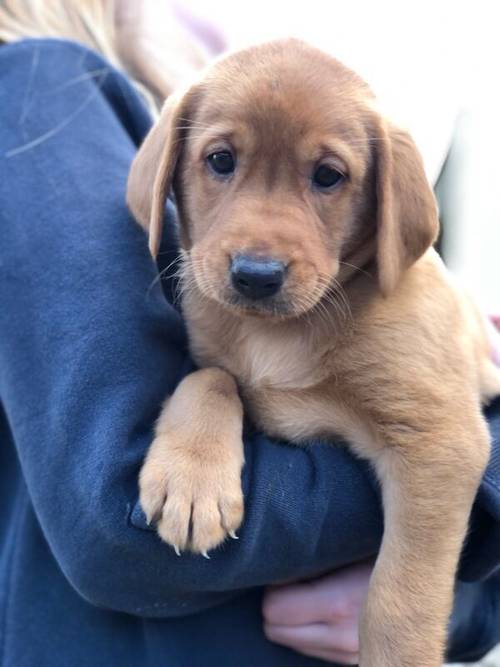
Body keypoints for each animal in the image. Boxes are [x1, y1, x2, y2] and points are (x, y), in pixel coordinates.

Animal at [126, 40, 500, 667]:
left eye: (328, 176)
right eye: (220, 160)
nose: (256, 275)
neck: (279, 336)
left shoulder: (439, 440)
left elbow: (401, 594)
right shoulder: (218, 357)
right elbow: (210, 380)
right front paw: (191, 480)